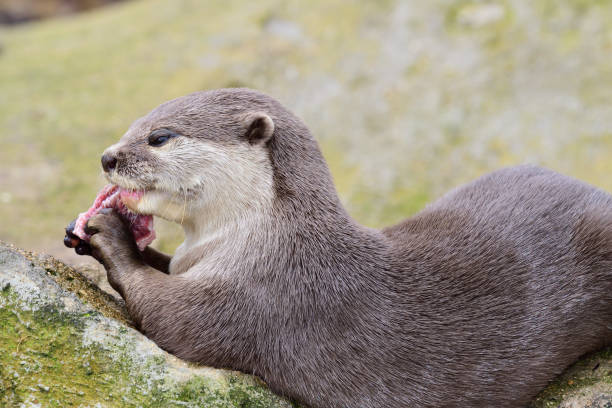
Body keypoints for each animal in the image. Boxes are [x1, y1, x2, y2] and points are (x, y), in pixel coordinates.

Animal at [63, 88, 612, 408]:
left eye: (159, 136)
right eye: (134, 124)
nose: (108, 157)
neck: (265, 239)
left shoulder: (262, 297)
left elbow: (168, 316)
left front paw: (111, 234)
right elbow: (165, 268)